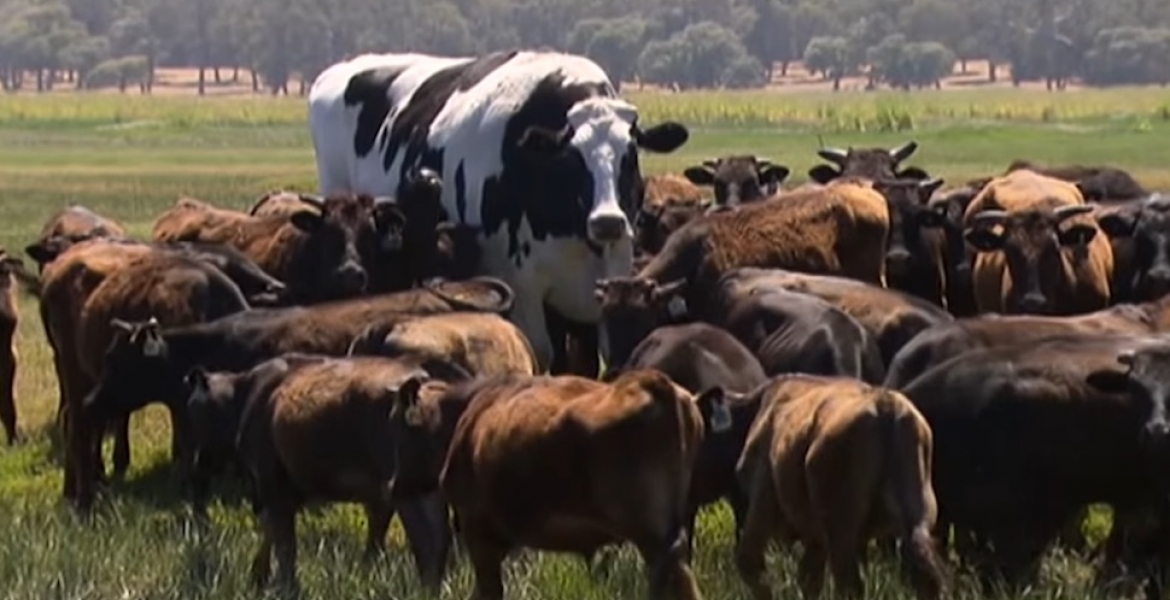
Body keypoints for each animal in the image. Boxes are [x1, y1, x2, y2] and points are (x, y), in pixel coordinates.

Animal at [195, 356, 463, 592]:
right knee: (440, 540)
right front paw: (259, 577)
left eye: (195, 409)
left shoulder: (273, 484)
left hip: (407, 489)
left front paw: (282, 586)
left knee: (428, 542)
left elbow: (284, 544)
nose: (197, 461)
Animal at [735, 374, 946, 600]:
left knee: (848, 583)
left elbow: (751, 562)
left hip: (841, 533)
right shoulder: (817, 538)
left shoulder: (762, 502)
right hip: (915, 521)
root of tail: (886, 406)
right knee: (925, 577)